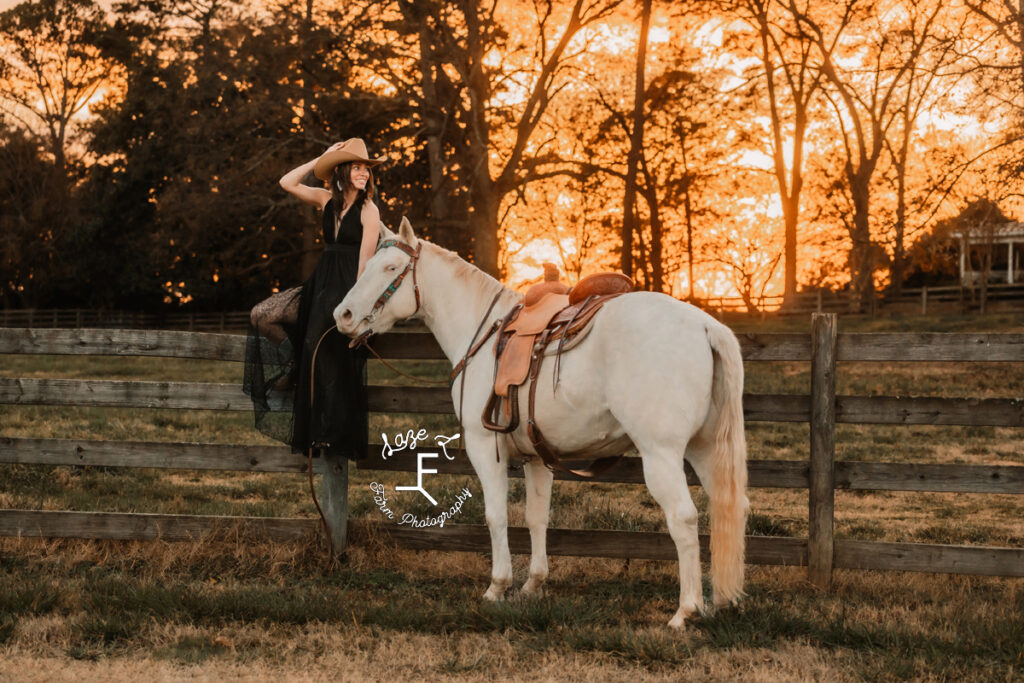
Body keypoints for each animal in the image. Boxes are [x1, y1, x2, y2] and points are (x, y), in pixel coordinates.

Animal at [331, 220, 749, 630]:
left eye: (390, 269)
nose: (343, 316)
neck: (483, 333)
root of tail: (704, 326)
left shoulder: (486, 448)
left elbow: (496, 515)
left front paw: (497, 587)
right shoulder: (536, 457)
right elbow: (537, 518)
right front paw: (533, 584)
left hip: (660, 454)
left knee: (683, 517)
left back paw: (685, 611)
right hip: (705, 450)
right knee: (731, 509)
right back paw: (723, 601)